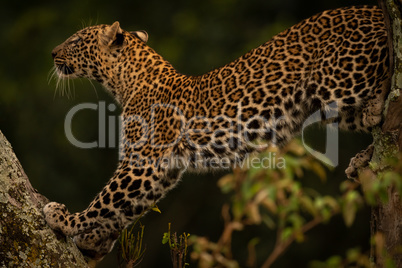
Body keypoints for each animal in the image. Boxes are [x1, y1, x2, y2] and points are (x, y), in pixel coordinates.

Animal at [44, 5, 390, 262]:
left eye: (75, 41)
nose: (51, 52)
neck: (125, 82)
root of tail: (372, 10)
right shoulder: (164, 169)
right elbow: (120, 209)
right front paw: (92, 242)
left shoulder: (144, 162)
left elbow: (105, 200)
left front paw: (63, 219)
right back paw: (361, 158)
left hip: (338, 82)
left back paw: (376, 110)